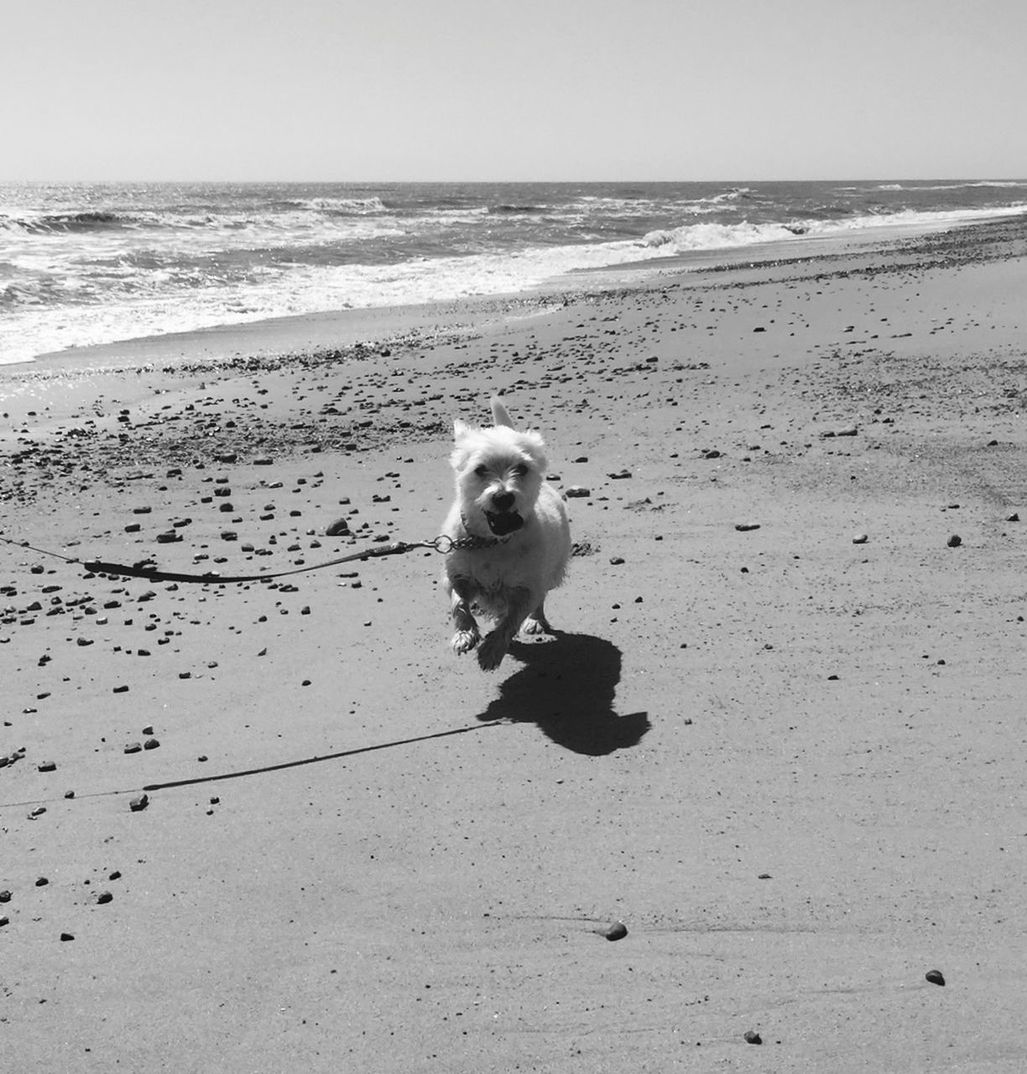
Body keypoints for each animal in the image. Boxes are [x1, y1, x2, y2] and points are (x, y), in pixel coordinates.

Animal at [438, 399, 575, 665]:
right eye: (480, 469)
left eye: (521, 468)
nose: (503, 497)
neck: (491, 542)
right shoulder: (456, 576)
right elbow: (459, 605)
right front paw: (464, 635)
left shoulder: (527, 588)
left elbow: (513, 618)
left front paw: (492, 649)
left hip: (551, 572)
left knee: (538, 602)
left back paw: (534, 621)